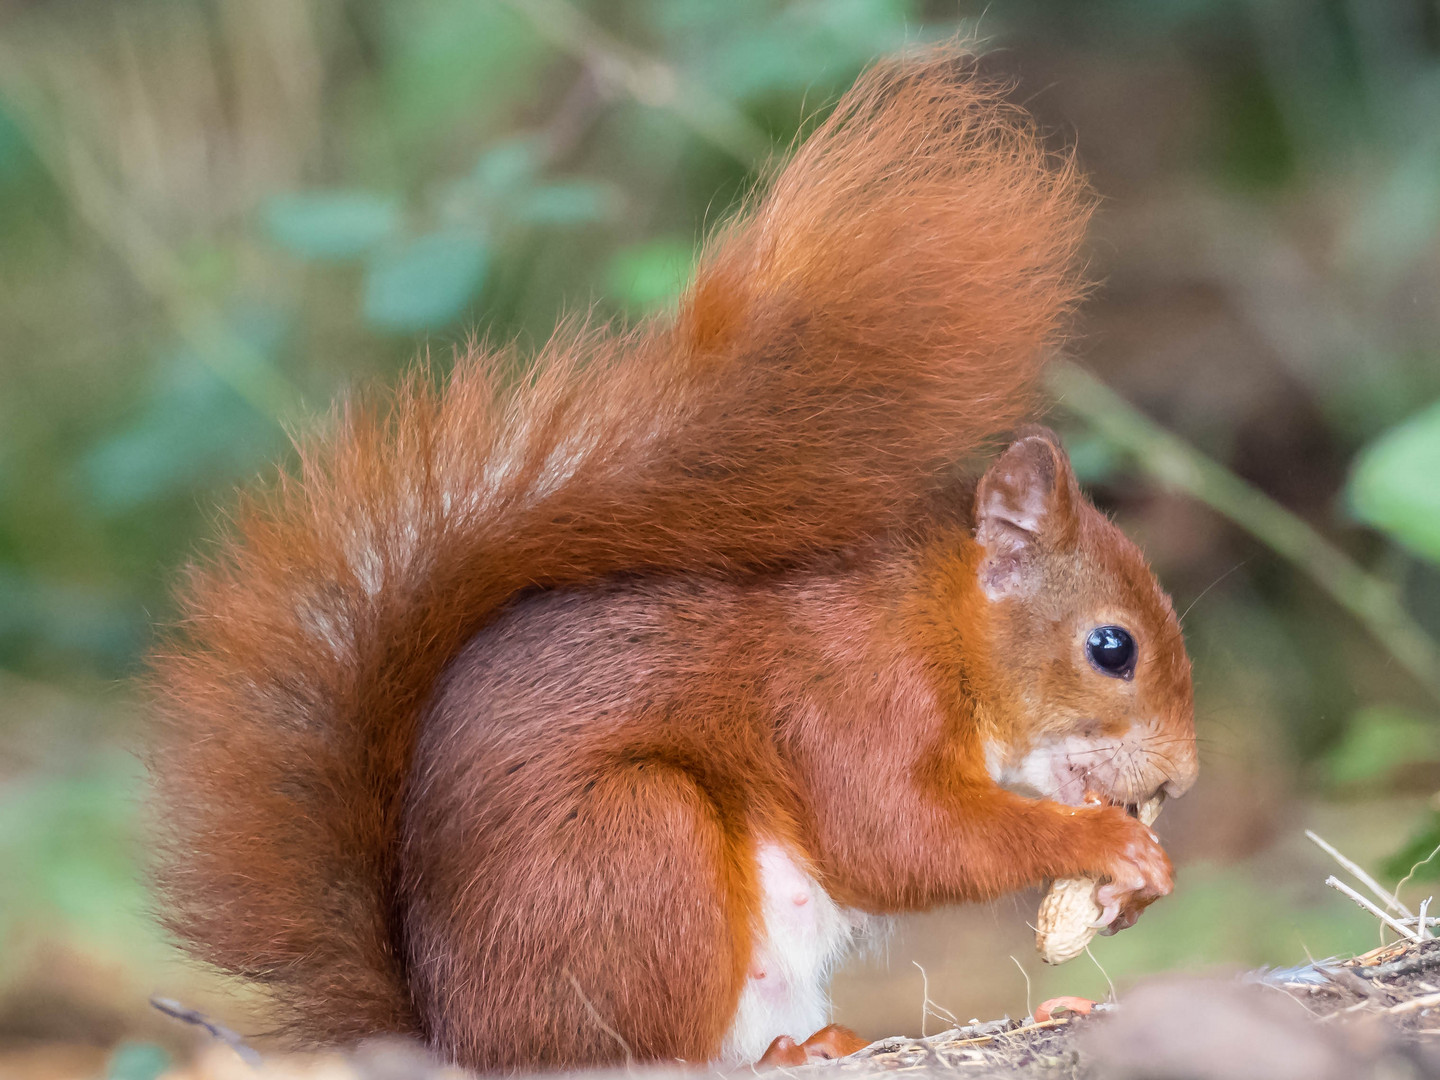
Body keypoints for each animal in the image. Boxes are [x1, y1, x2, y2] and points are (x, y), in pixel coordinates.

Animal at [149, 48, 1192, 1077]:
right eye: (1112, 648)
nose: (1179, 782)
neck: (936, 624)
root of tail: (456, 1039)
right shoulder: (850, 696)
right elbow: (896, 837)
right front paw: (1107, 845)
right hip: (638, 847)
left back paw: (837, 1039)